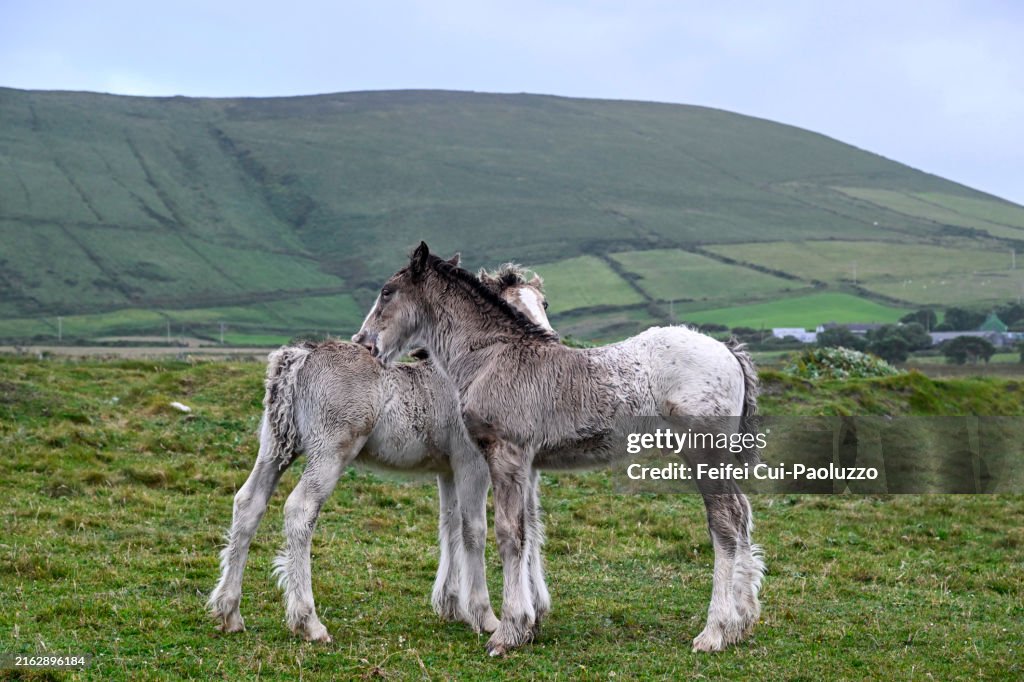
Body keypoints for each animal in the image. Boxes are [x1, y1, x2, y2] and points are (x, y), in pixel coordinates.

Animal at [208, 259, 554, 643]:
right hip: (329, 454)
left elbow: (449, 524)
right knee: (299, 511)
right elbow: (474, 530)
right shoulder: (471, 464)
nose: (548, 343)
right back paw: (308, 622)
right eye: (515, 309)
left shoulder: (446, 469)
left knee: (248, 504)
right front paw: (486, 616)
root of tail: (300, 356)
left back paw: (229, 611)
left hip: (275, 449)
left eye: (544, 303)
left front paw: (451, 605)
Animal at [353, 242, 764, 656]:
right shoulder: (525, 463)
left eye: (387, 291)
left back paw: (715, 630)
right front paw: (529, 624)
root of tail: (729, 352)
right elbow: (527, 529)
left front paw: (508, 631)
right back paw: (742, 621)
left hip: (704, 451)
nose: (364, 342)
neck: (492, 356)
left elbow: (509, 533)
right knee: (742, 513)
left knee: (725, 521)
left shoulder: (506, 454)